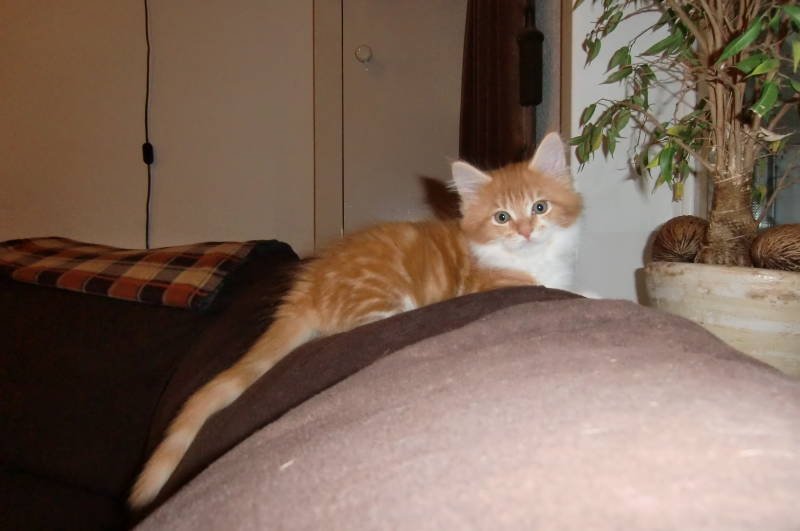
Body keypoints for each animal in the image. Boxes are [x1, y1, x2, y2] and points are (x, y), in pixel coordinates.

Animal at [128, 132, 583, 507]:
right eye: (501, 217)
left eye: (540, 207)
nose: (525, 231)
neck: (530, 259)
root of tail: (309, 285)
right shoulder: (489, 283)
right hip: (380, 298)